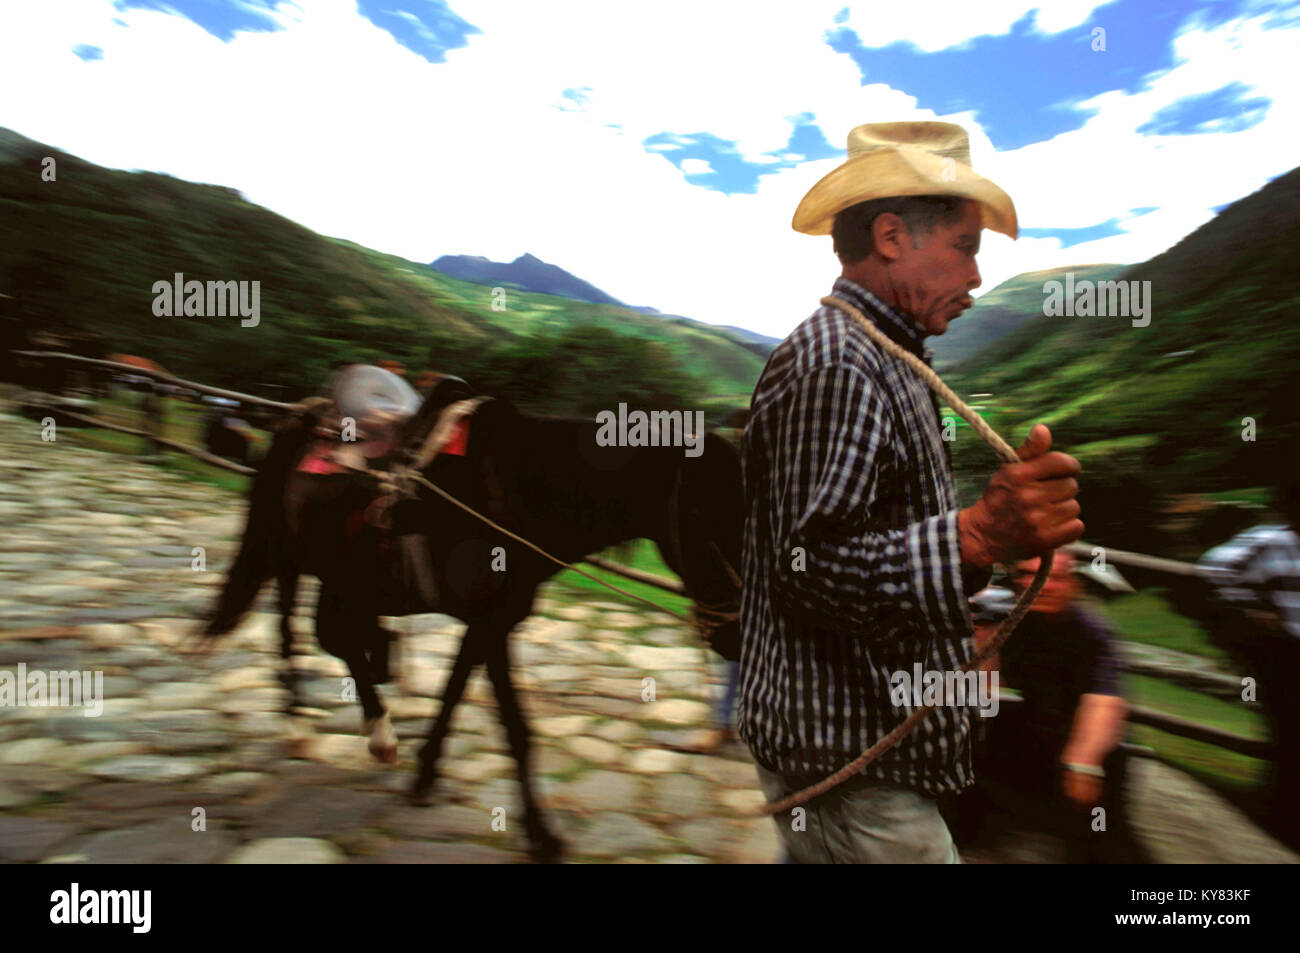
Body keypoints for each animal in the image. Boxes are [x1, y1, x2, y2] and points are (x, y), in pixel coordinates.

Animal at [197, 379, 738, 863]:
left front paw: (425, 775)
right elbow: (516, 729)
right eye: (714, 516)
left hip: (334, 570)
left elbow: (454, 693)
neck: (518, 493)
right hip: (291, 554)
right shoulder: (490, 626)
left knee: (332, 633)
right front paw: (542, 835)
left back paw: (364, 717)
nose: (733, 634)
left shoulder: (490, 623)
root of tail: (306, 413)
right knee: (296, 631)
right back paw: (340, 728)